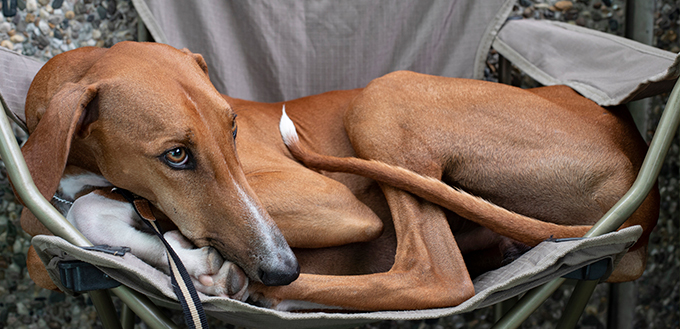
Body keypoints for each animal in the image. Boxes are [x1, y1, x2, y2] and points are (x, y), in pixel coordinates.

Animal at [22, 41, 660, 310]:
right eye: (175, 155)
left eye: (234, 128)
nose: (281, 265)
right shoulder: (46, 244)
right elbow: (76, 221)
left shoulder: (330, 199)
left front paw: (204, 262)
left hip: (384, 97)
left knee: (435, 274)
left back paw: (263, 293)